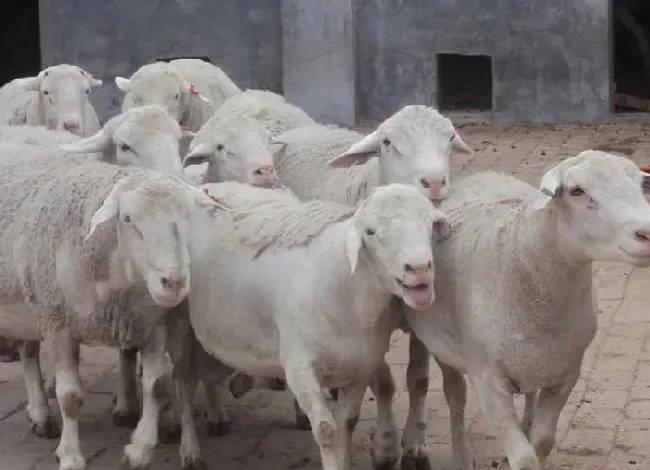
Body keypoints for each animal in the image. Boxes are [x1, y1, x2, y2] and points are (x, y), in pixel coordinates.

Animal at [0, 148, 227, 470]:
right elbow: (70, 397)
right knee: (30, 355)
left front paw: (138, 451)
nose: (173, 282)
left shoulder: (151, 323)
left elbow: (156, 386)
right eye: (128, 218)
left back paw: (41, 415)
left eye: (190, 217)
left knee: (28, 351)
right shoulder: (58, 324)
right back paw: (43, 415)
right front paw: (71, 455)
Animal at [166, 181, 450, 470]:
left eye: (429, 223)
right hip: (178, 323)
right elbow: (327, 430)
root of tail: (207, 186)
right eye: (370, 232)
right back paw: (190, 451)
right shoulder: (299, 368)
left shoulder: (360, 366)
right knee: (183, 383)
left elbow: (348, 422)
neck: (345, 288)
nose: (419, 269)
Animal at [400, 151, 650, 470]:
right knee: (455, 397)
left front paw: (534, 435)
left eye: (639, 183)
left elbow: (542, 443)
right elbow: (525, 458)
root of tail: (485, 173)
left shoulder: (566, 373)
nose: (647, 233)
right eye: (577, 191)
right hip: (444, 349)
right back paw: (460, 456)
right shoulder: (488, 381)